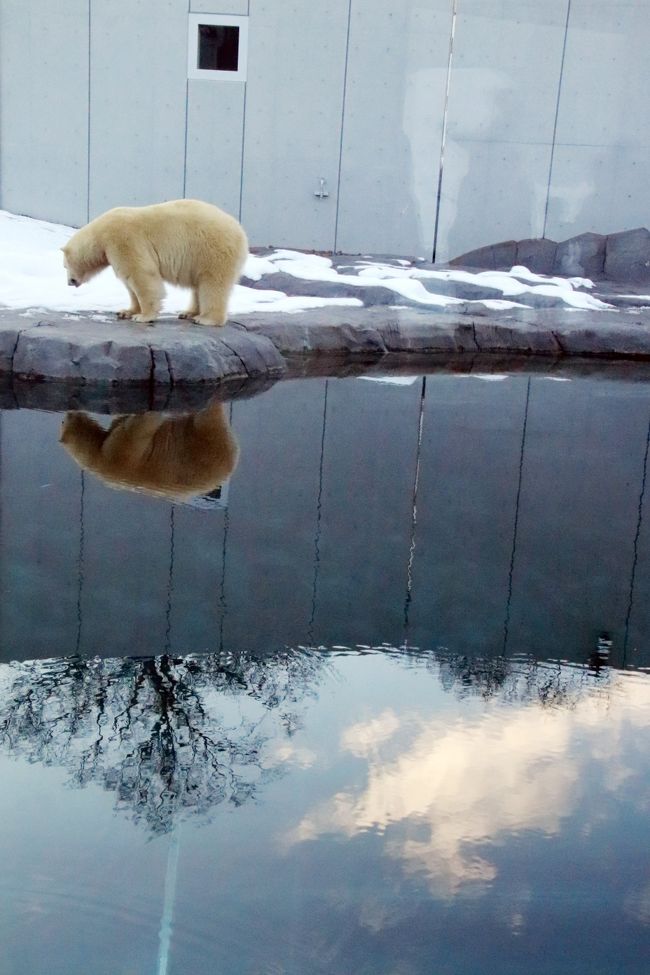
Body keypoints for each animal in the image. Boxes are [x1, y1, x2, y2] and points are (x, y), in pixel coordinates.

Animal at [58, 398, 238, 500]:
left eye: (63, 423)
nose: (66, 415)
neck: (97, 456)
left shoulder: (116, 455)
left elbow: (136, 431)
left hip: (205, 444)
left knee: (206, 417)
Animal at [61, 200, 248, 326]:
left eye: (64, 266)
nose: (69, 282)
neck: (100, 232)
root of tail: (240, 231)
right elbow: (129, 282)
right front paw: (126, 311)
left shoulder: (123, 239)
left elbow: (141, 274)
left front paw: (143, 316)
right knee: (199, 285)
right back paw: (187, 313)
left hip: (213, 249)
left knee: (213, 284)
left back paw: (205, 319)